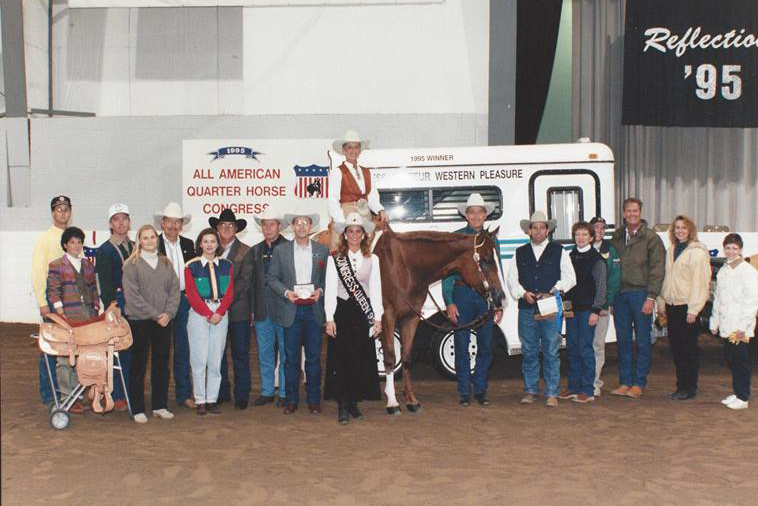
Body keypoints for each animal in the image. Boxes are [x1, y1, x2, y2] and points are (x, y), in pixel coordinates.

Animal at [374, 227, 504, 414]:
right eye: (486, 260)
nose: (500, 297)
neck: (403, 267)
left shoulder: (411, 318)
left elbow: (406, 357)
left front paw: (411, 400)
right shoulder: (387, 317)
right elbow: (390, 357)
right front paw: (392, 402)